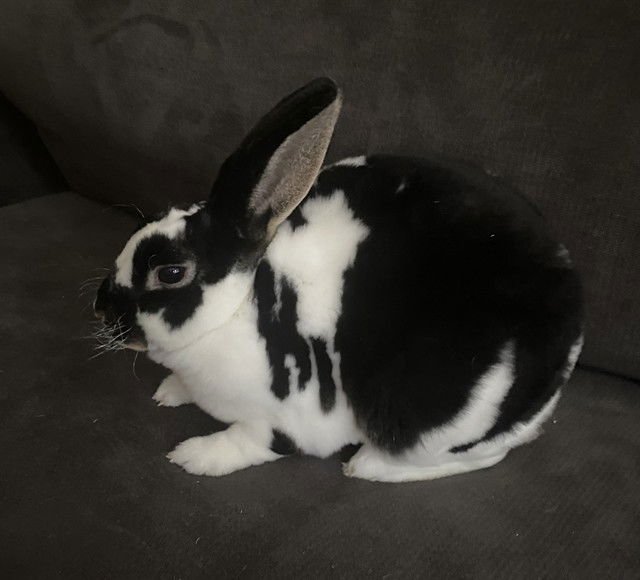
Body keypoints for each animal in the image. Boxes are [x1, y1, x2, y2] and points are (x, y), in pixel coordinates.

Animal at [93, 78, 584, 482]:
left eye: (170, 273)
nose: (101, 308)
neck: (236, 310)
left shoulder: (286, 420)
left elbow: (246, 443)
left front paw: (193, 456)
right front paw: (169, 392)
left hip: (425, 421)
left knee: (482, 455)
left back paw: (366, 466)